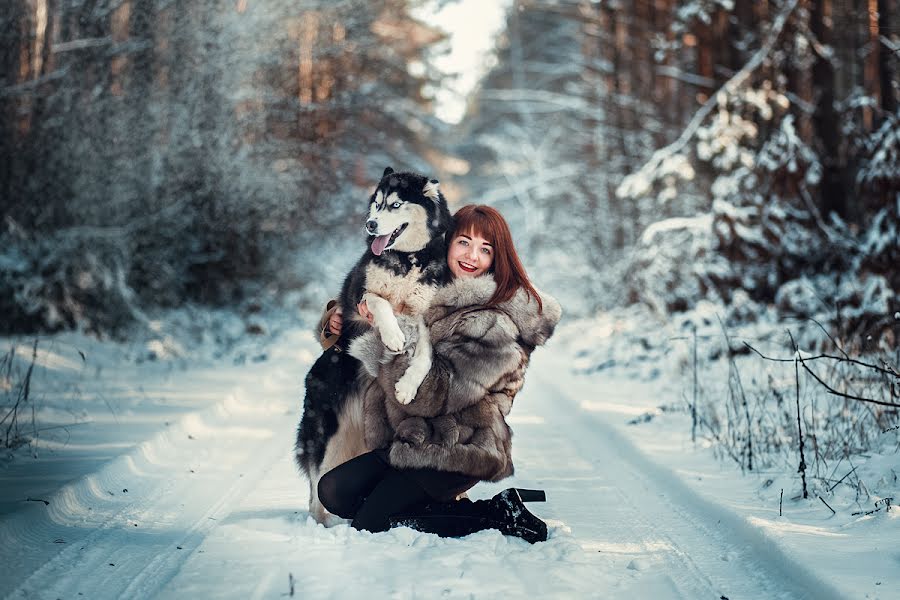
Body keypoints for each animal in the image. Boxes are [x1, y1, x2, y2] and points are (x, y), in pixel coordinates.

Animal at [296, 166, 454, 524]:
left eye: (395, 205)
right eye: (377, 203)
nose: (370, 224)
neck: (407, 260)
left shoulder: (427, 318)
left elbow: (425, 355)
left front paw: (407, 387)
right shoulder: (361, 298)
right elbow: (379, 303)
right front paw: (393, 335)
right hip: (325, 432)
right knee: (315, 486)